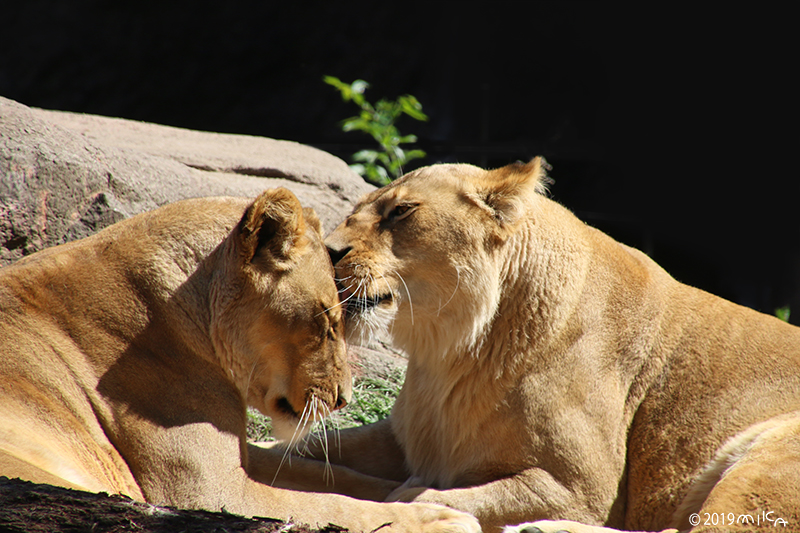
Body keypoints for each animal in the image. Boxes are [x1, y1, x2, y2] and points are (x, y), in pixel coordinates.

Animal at [0, 187, 476, 532]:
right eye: (327, 322)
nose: (343, 399)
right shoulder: (211, 490)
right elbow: (331, 505)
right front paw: (440, 518)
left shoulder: (244, 455)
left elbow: (338, 477)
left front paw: (420, 492)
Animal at [264, 160, 800, 532]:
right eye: (354, 213)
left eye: (401, 212)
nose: (328, 252)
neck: (451, 356)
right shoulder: (404, 438)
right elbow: (300, 448)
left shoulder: (584, 490)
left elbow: (429, 497)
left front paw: (414, 504)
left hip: (770, 452)